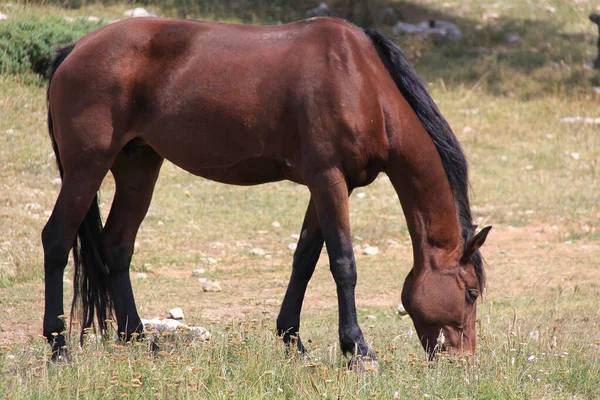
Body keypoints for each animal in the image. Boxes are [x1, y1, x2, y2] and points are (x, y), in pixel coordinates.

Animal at [43, 16, 492, 366]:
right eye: (470, 292)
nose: (463, 362)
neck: (360, 81)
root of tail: (74, 49)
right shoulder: (329, 179)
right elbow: (343, 263)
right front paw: (358, 351)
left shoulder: (329, 185)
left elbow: (305, 259)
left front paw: (294, 342)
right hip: (86, 169)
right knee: (57, 240)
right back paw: (59, 349)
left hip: (138, 166)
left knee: (117, 247)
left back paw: (138, 341)